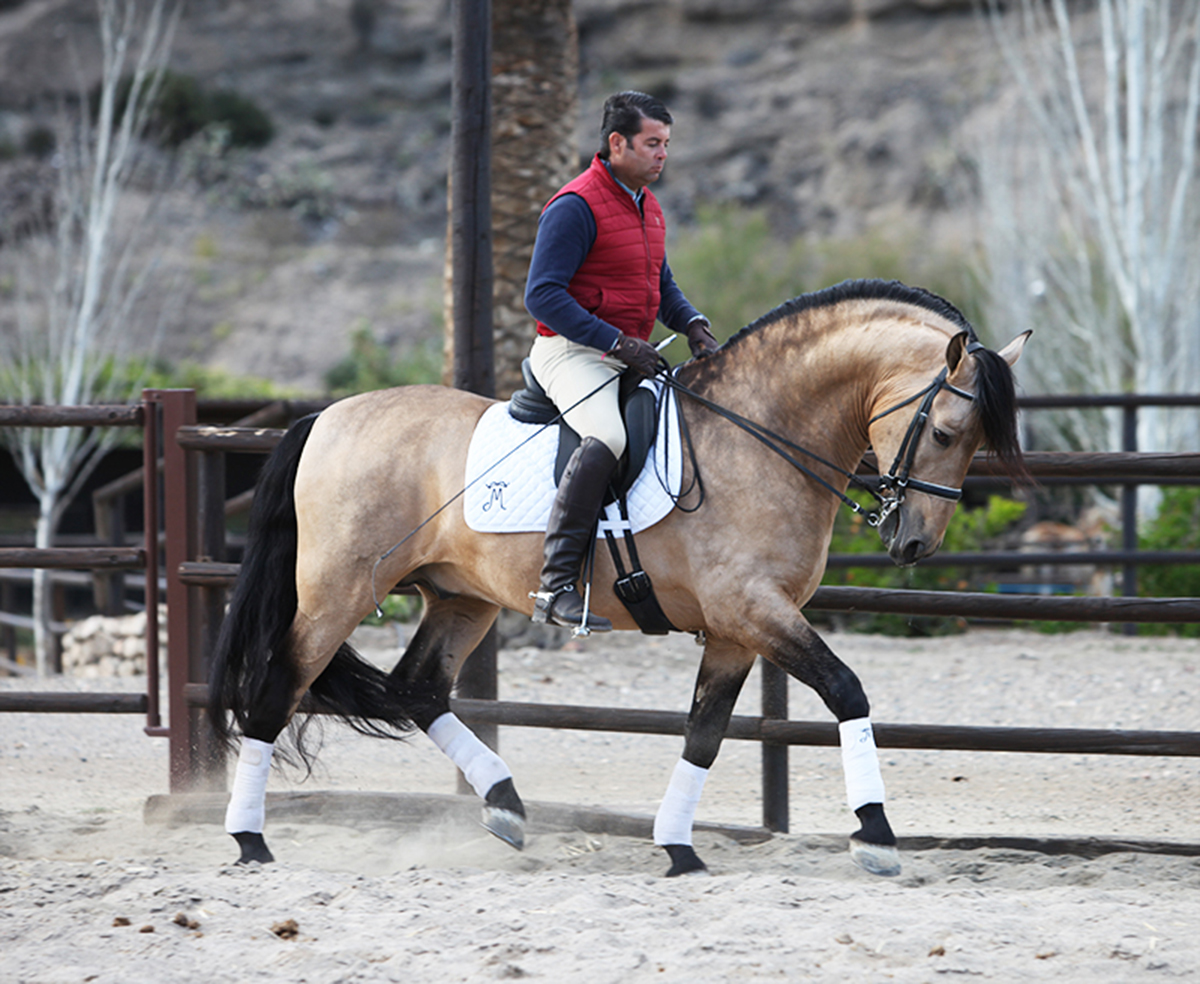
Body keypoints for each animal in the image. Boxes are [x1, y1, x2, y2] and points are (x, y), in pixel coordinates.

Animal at [209, 278, 1030, 878]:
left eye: (974, 446)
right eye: (945, 432)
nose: (913, 542)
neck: (759, 435)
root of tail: (325, 417)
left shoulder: (737, 630)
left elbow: (704, 733)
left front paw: (679, 848)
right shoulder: (755, 610)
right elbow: (846, 691)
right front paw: (877, 835)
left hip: (460, 597)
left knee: (416, 689)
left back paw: (505, 806)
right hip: (338, 591)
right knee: (277, 687)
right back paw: (249, 840)